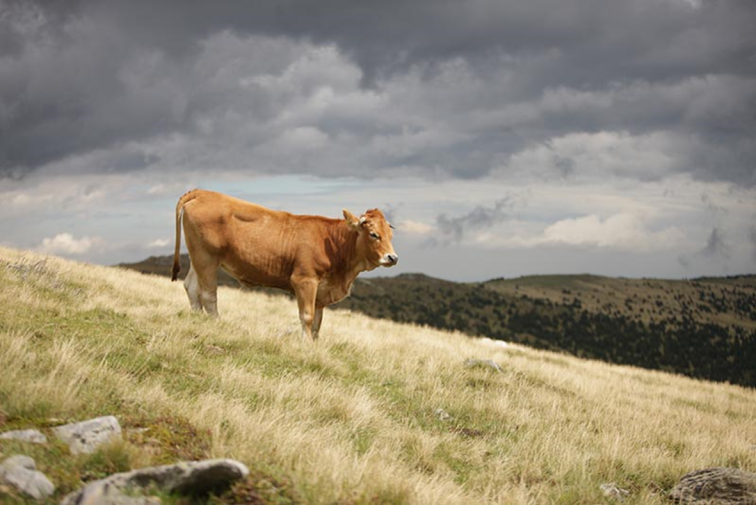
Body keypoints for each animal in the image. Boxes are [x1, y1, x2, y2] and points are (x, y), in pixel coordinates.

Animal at [170, 188, 396, 338]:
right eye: (373, 234)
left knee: (191, 286)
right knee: (208, 294)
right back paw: (216, 323)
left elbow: (317, 322)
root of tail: (202, 192)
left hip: (197, 256)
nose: (392, 257)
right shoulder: (304, 280)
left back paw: (197, 318)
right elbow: (307, 316)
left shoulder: (321, 290)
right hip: (207, 257)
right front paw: (306, 345)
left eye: (390, 235)